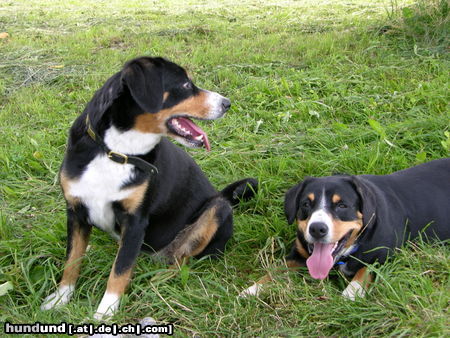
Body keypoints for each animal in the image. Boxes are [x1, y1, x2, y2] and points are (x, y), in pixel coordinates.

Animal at [43, 56, 260, 320]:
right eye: (185, 85)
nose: (226, 103)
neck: (117, 152)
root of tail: (222, 196)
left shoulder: (136, 220)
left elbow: (119, 271)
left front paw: (105, 313)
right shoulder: (76, 212)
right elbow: (72, 261)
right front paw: (60, 299)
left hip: (216, 210)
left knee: (181, 261)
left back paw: (157, 281)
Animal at [243, 160, 450, 300]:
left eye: (342, 205)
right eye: (306, 204)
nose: (317, 229)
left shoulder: (385, 255)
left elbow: (365, 271)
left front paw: (350, 294)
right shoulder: (298, 255)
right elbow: (276, 270)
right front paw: (252, 290)